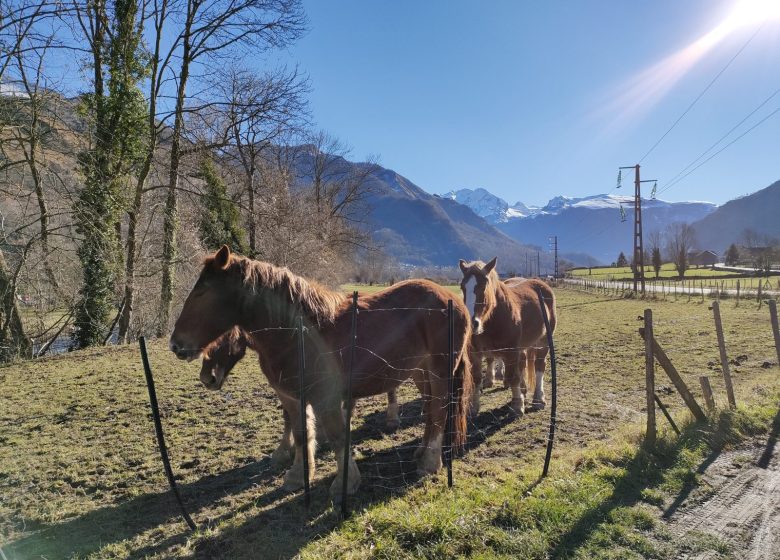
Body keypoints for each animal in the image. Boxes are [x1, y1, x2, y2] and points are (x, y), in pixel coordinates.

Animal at [173, 245, 472, 498]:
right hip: (421, 372)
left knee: (439, 411)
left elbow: (338, 437)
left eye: (202, 293)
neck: (297, 334)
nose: (176, 344)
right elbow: (302, 433)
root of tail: (452, 300)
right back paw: (421, 453)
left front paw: (346, 483)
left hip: (440, 372)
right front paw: (297, 476)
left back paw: (430, 463)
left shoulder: (325, 398)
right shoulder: (291, 397)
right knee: (431, 408)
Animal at [458, 258, 556, 416]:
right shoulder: (475, 353)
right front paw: (473, 407)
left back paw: (538, 399)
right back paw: (524, 390)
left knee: (539, 366)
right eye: (462, 287)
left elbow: (512, 376)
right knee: (522, 364)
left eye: (484, 285)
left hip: (544, 342)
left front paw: (517, 405)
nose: (472, 323)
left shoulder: (510, 351)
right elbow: (476, 378)